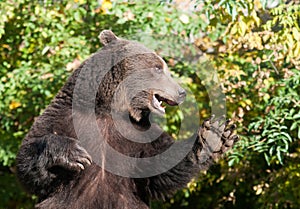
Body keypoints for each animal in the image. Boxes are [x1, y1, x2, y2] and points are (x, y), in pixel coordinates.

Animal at [16, 29, 238, 209]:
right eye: (158, 68)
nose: (181, 92)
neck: (110, 107)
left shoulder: (139, 135)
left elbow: (160, 170)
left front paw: (213, 137)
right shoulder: (64, 116)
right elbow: (28, 160)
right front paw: (74, 154)